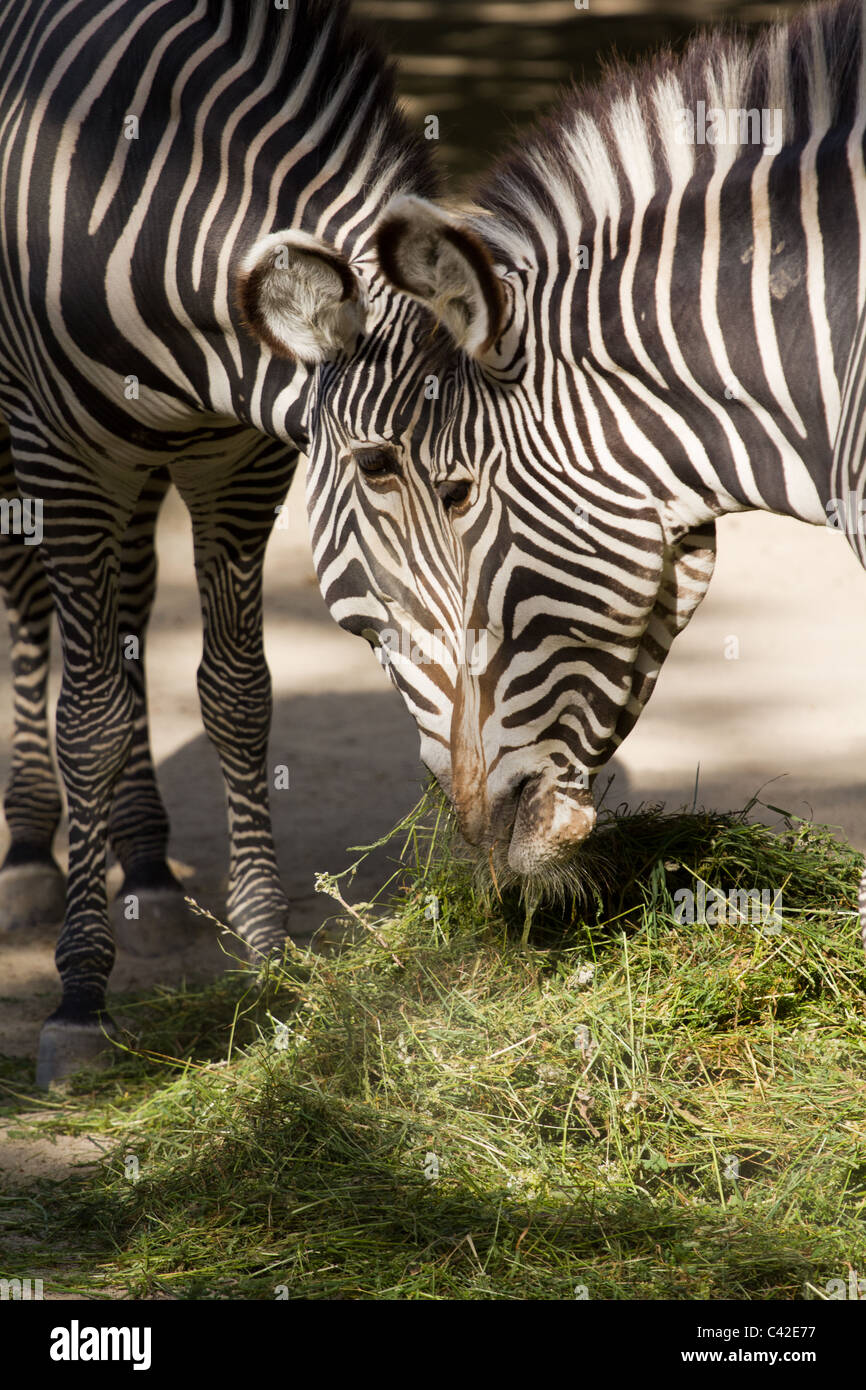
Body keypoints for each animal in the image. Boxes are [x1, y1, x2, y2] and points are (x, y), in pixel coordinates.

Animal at [0, 0, 437, 1086]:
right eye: (377, 466)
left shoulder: (241, 462)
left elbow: (238, 695)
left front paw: (268, 953)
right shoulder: (65, 461)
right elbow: (88, 720)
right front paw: (80, 999)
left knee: (128, 599)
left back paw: (149, 867)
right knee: (25, 593)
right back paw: (29, 849)